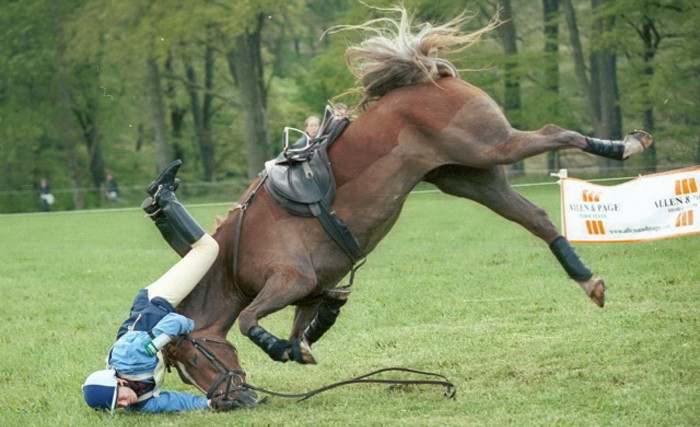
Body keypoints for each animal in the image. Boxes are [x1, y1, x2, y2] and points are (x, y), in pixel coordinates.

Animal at [163, 7, 652, 409]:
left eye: (191, 358)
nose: (227, 403)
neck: (233, 256)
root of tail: (430, 73)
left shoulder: (289, 279)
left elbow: (249, 320)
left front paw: (278, 347)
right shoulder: (313, 287)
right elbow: (302, 326)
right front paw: (296, 347)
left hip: (491, 145)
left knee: (555, 134)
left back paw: (625, 146)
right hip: (470, 179)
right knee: (538, 218)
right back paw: (589, 281)